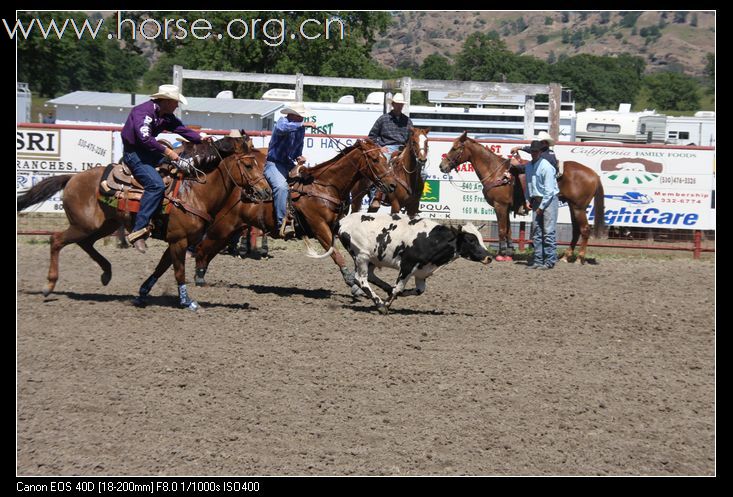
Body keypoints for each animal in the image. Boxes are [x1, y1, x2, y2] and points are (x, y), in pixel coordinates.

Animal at [17, 134, 272, 308]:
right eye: (248, 164)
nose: (266, 191)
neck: (195, 192)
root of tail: (72, 177)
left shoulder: (177, 241)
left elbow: (161, 268)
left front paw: (142, 294)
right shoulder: (179, 241)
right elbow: (178, 272)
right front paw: (186, 301)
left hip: (102, 225)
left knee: (84, 244)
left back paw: (106, 273)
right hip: (84, 225)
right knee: (56, 240)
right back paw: (49, 285)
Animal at [192, 139, 398, 294]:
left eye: (384, 158)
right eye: (374, 159)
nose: (393, 185)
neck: (325, 186)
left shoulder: (336, 228)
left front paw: (378, 283)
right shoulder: (319, 227)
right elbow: (336, 255)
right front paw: (352, 283)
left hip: (231, 230)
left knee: (209, 251)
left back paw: (201, 275)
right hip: (223, 226)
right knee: (202, 248)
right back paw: (199, 278)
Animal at [338, 211, 492, 312]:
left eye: (480, 238)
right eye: (471, 240)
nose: (489, 257)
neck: (431, 239)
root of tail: (343, 221)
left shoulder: (422, 271)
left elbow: (418, 290)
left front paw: (392, 294)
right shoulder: (407, 266)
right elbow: (399, 288)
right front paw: (386, 304)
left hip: (373, 259)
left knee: (369, 276)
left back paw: (387, 289)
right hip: (361, 256)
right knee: (361, 279)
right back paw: (380, 304)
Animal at [438, 132, 604, 264]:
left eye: (455, 148)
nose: (442, 166)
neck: (497, 173)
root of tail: (594, 175)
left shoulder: (500, 206)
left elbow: (502, 230)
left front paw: (500, 255)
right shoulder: (507, 207)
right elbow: (508, 231)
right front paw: (509, 253)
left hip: (578, 207)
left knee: (584, 230)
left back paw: (579, 258)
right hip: (573, 206)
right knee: (576, 230)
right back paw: (566, 256)